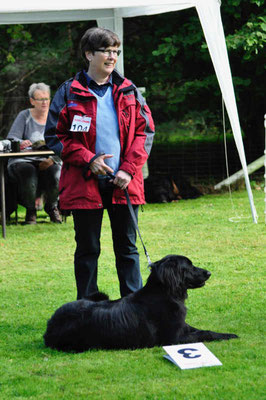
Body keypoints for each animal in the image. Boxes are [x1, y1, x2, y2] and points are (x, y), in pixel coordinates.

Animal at [43, 255, 237, 352]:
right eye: (189, 266)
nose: (209, 273)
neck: (165, 293)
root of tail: (49, 326)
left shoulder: (182, 325)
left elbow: (204, 330)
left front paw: (228, 334)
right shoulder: (172, 339)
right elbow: (203, 334)